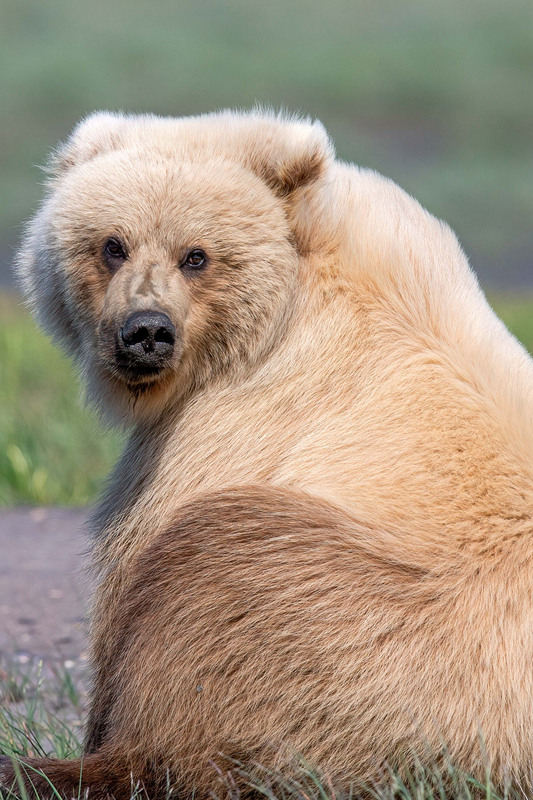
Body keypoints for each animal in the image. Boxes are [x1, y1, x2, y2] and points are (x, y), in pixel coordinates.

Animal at [3, 109, 532, 796]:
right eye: (112, 244)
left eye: (196, 255)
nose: (146, 331)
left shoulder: (225, 429)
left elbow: (134, 577)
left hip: (366, 627)